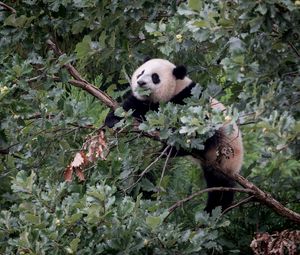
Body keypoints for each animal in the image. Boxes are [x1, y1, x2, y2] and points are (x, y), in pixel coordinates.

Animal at [105, 58, 244, 213]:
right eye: (141, 72)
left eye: (155, 77)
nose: (140, 82)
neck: (176, 88)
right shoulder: (147, 102)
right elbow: (132, 107)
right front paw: (112, 120)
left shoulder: (189, 99)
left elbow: (195, 127)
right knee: (215, 186)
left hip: (227, 153)